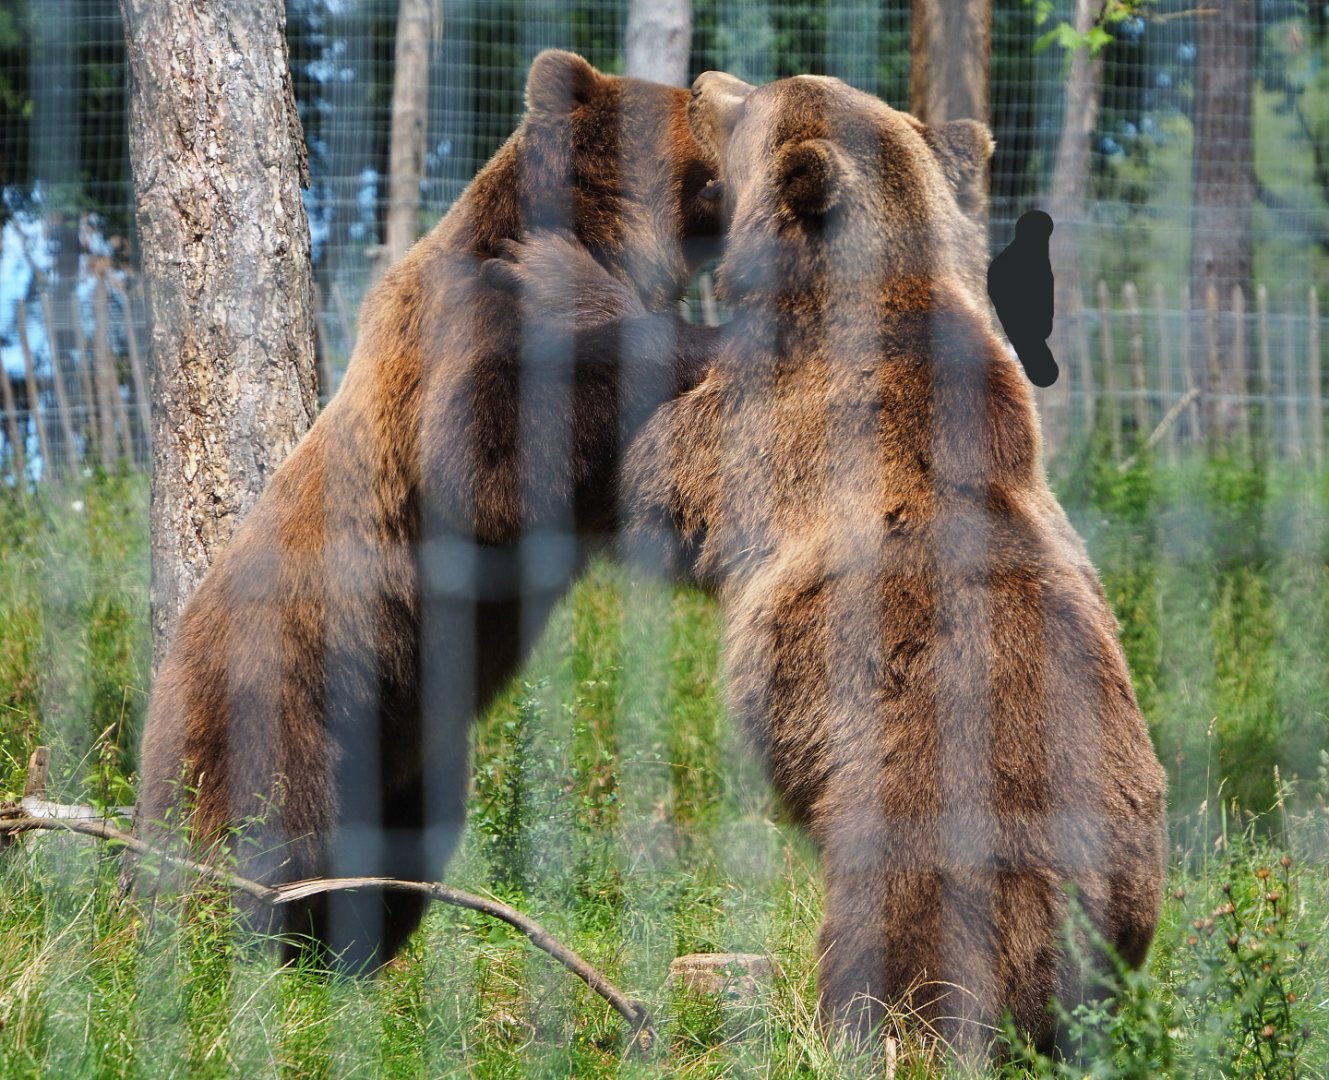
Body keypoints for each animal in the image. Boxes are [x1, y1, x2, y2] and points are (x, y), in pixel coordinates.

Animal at [132, 49, 723, 973]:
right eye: (691, 101)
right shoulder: (463, 328)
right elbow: (486, 466)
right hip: (282, 691)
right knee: (254, 827)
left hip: (411, 753)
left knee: (400, 850)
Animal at [604, 71, 1168, 1055]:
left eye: (750, 106)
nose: (707, 81)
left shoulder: (783, 422)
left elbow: (662, 478)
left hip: (928, 814)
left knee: (899, 937)